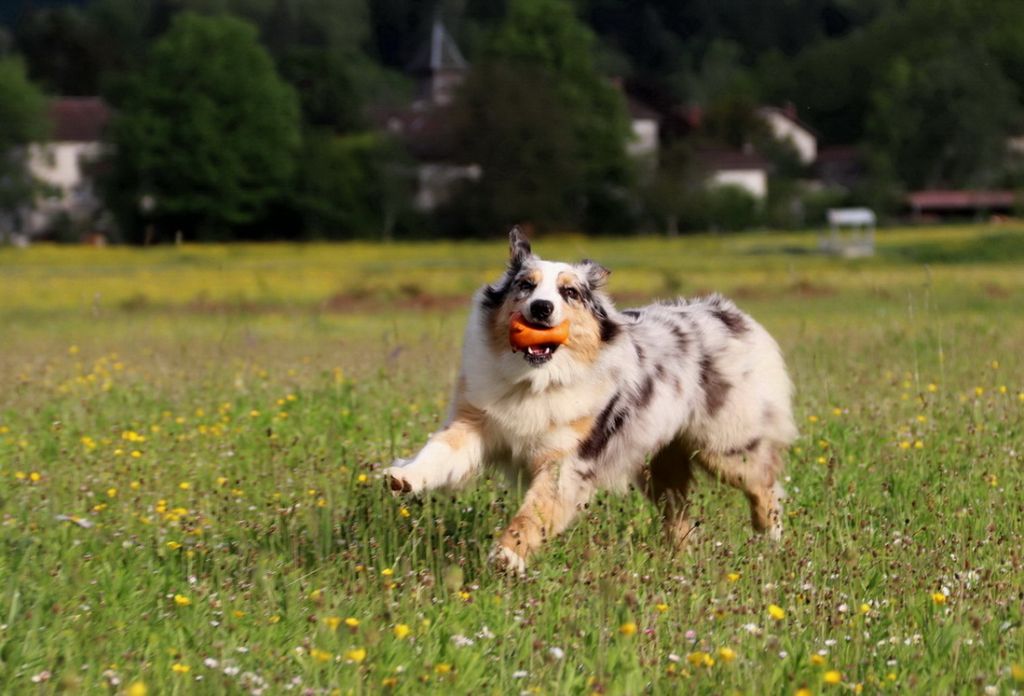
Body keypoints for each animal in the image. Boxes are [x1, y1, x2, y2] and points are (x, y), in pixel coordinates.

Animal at [387, 231, 794, 573]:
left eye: (569, 292)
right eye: (525, 285)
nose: (541, 308)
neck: (536, 381)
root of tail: (726, 311)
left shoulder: (566, 463)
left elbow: (534, 511)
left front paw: (507, 554)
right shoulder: (476, 423)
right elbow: (439, 452)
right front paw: (404, 476)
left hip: (724, 445)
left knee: (765, 483)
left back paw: (769, 540)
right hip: (656, 463)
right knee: (679, 513)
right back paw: (680, 560)